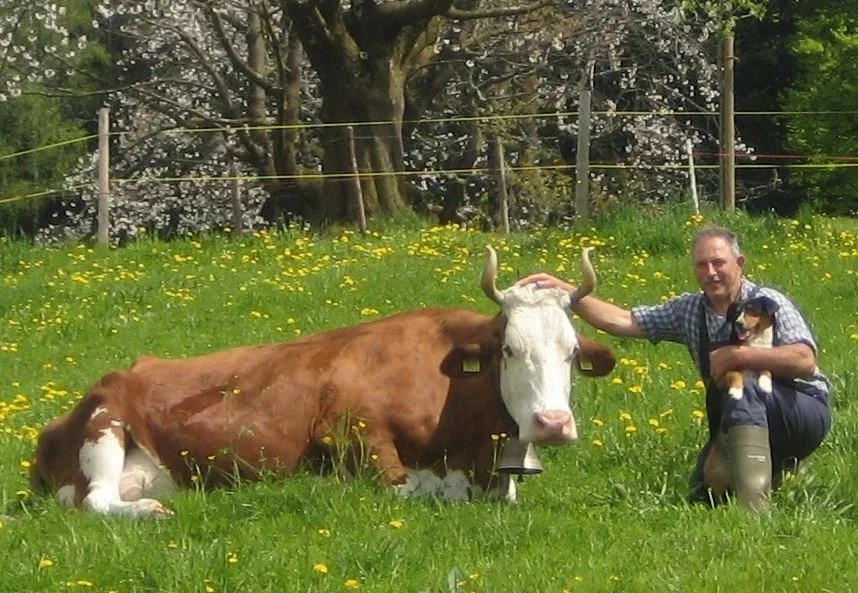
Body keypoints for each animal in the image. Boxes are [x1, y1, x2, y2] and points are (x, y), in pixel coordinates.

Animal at [29, 246, 616, 517]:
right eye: (510, 350)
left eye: (570, 353)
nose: (552, 423)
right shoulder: (351, 430)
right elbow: (409, 488)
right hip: (105, 425)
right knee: (96, 500)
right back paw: (150, 512)